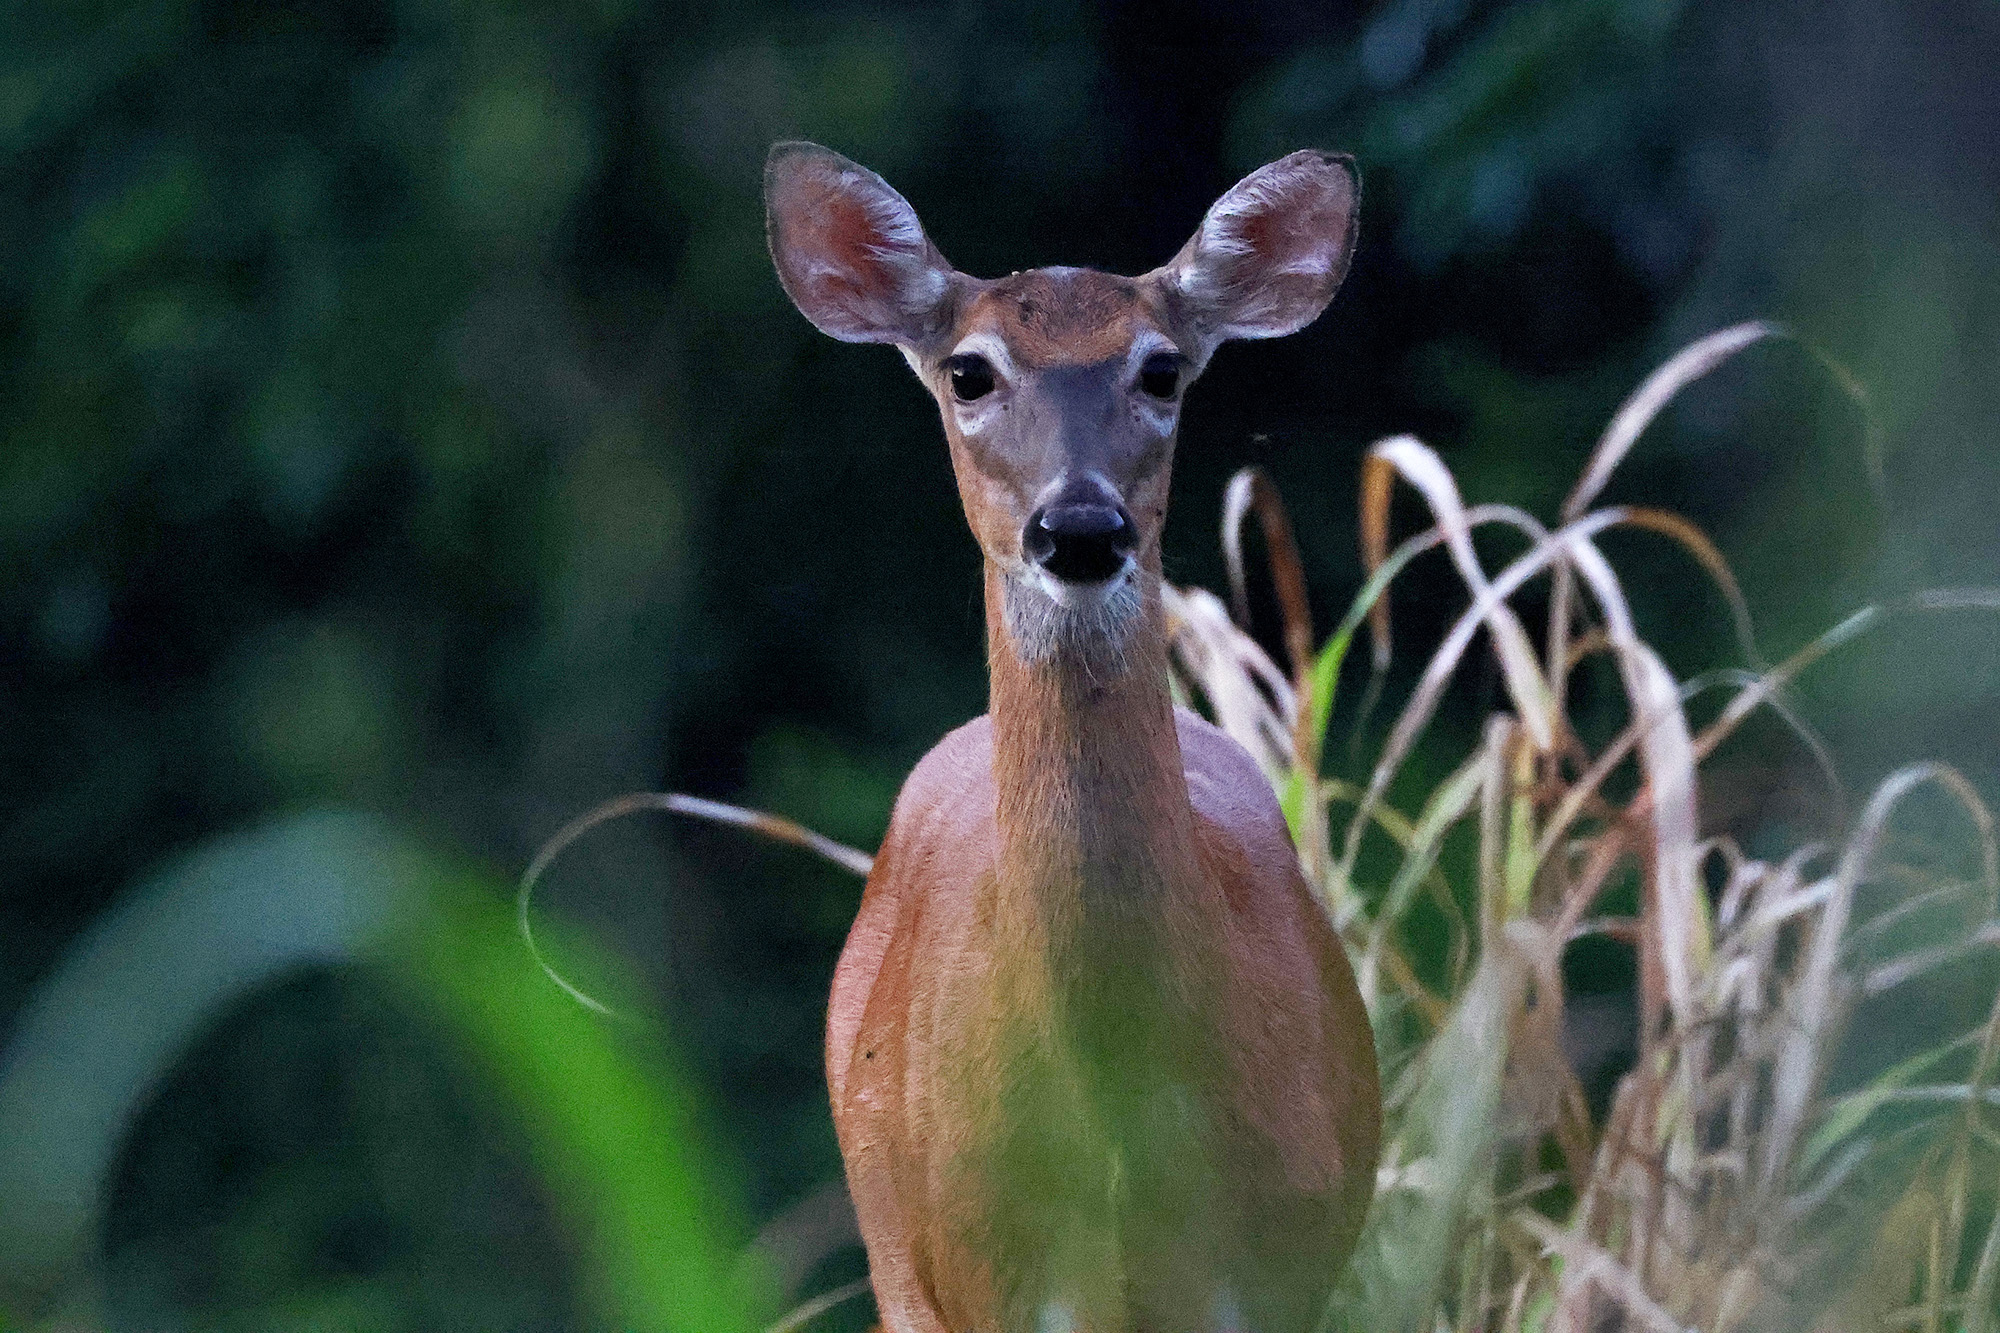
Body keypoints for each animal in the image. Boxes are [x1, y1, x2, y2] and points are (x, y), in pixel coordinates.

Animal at [756, 145, 1384, 1328]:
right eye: (967, 372)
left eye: (1162, 370)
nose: (1080, 527)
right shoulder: (994, 1287)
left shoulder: (1275, 1277)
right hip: (898, 1264)